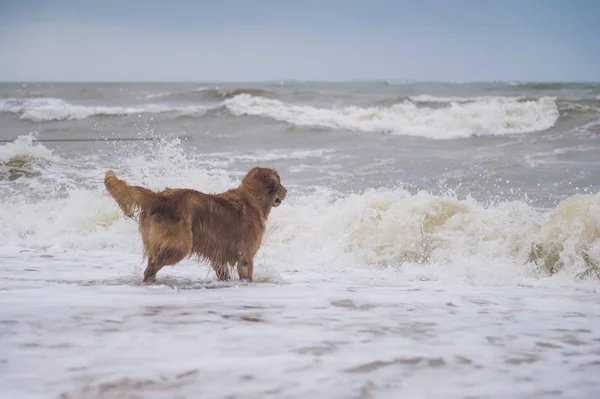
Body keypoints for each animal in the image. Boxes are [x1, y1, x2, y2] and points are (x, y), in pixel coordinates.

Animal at [104, 167, 288, 282]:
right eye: (279, 182)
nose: (286, 191)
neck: (252, 198)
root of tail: (159, 197)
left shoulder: (219, 255)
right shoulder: (245, 255)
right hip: (179, 244)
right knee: (151, 268)